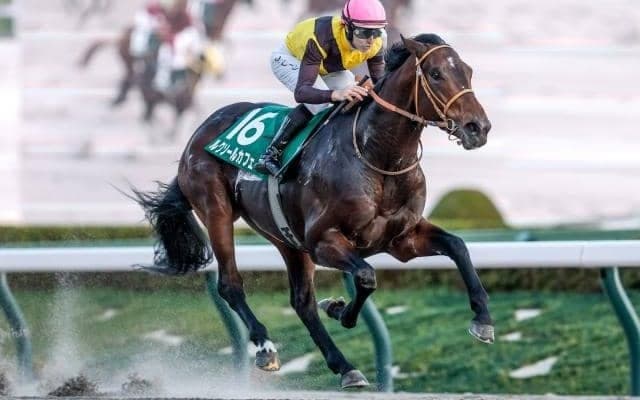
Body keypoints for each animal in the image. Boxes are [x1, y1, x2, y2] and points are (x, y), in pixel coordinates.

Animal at [133, 33, 493, 389]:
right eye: (436, 74)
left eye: (469, 71)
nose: (478, 128)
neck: (378, 155)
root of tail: (197, 135)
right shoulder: (323, 242)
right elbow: (366, 276)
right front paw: (339, 309)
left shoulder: (402, 239)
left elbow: (458, 246)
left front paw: (483, 320)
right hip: (216, 211)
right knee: (230, 285)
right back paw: (266, 347)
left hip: (285, 237)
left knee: (301, 301)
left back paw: (345, 367)